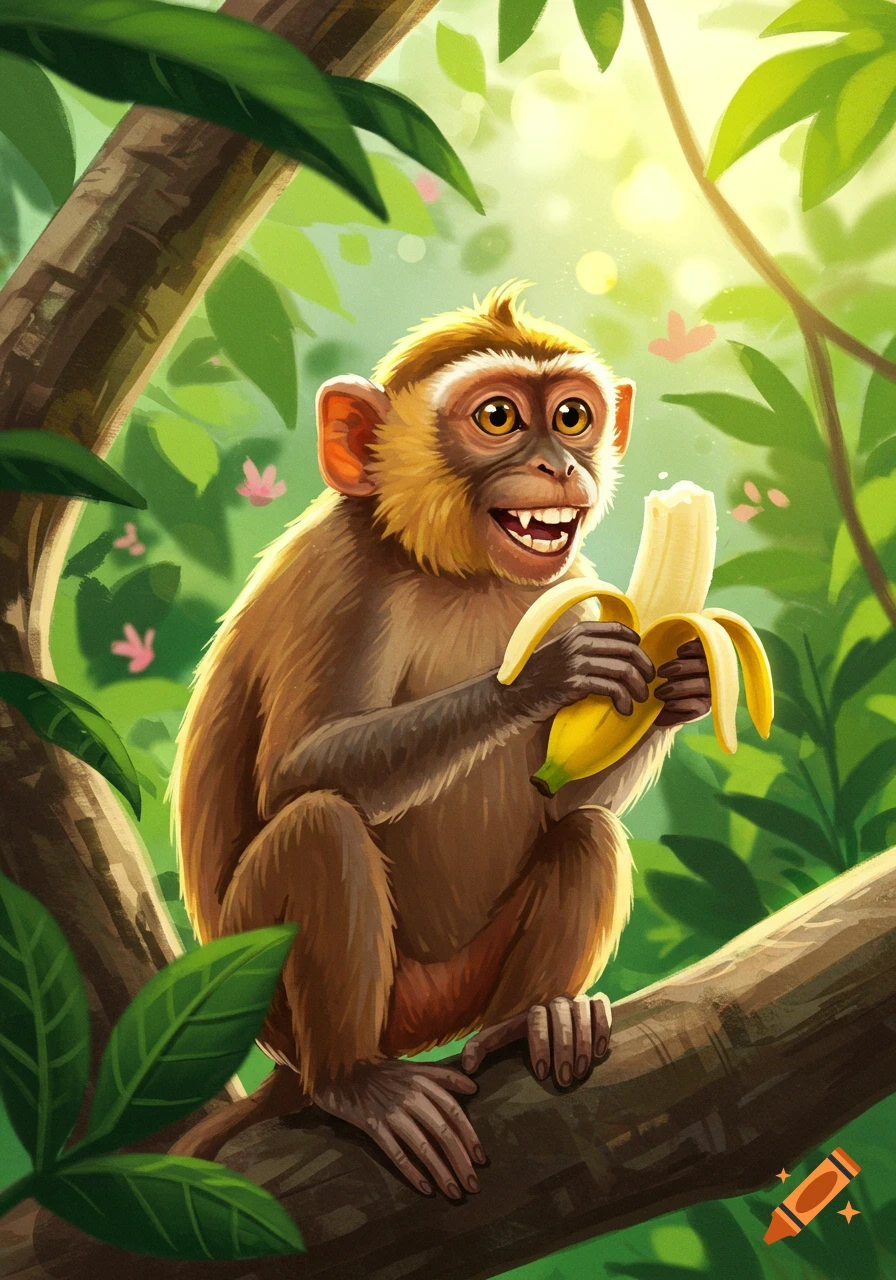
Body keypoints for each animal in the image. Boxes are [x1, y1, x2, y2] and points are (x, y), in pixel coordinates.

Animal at [169, 282, 711, 1199]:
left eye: (571, 416)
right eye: (498, 417)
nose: (560, 465)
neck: (460, 574)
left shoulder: (567, 580)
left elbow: (560, 796)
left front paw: (682, 687)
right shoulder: (340, 576)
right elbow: (295, 772)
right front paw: (542, 678)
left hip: (457, 989)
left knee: (585, 835)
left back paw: (534, 1022)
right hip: (289, 997)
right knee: (320, 826)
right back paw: (356, 1083)